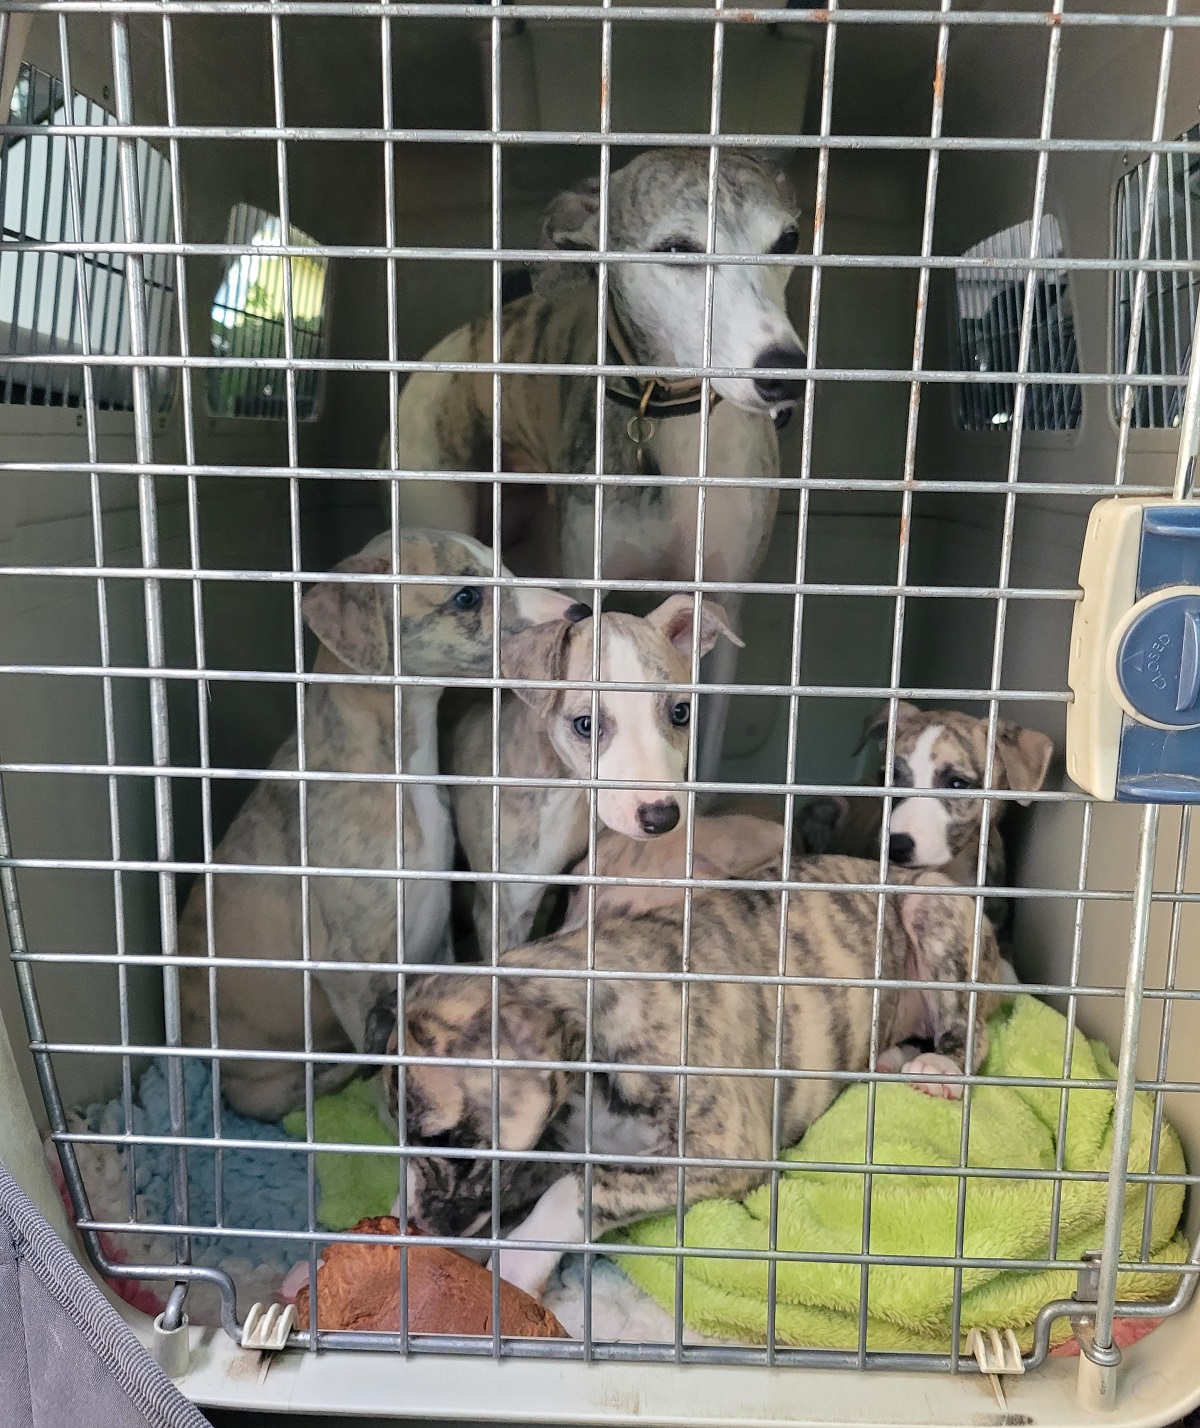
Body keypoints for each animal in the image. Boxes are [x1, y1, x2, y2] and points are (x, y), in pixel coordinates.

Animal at [177, 530, 576, 1121]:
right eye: (466, 596)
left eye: (506, 567)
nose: (580, 611)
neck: (399, 768)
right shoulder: (348, 966)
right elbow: (384, 1054)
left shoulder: (437, 934)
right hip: (266, 1088)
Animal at [377, 855, 1002, 1296]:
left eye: (443, 1139)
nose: (417, 1225)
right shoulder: (549, 1145)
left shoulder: (722, 1151)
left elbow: (575, 1190)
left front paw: (514, 1265)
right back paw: (889, 1060)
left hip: (930, 905)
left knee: (972, 1030)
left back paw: (937, 1067)